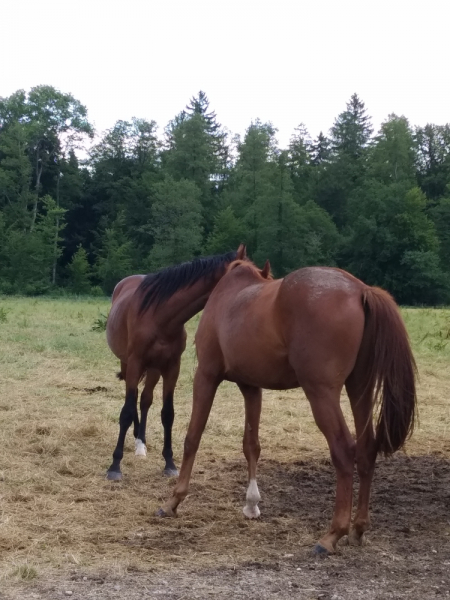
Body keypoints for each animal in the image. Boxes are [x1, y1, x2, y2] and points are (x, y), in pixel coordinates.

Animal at [105, 243, 246, 478]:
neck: (160, 317)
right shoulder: (135, 363)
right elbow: (126, 411)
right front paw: (115, 466)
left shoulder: (172, 367)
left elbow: (167, 413)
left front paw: (169, 463)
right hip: (128, 364)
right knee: (132, 400)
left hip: (154, 369)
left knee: (144, 400)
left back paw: (140, 442)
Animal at [159, 256, 418, 552]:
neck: (228, 293)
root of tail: (360, 290)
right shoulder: (251, 386)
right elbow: (251, 445)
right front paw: (251, 505)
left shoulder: (206, 375)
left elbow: (193, 437)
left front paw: (174, 500)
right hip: (359, 388)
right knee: (367, 449)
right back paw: (358, 528)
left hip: (321, 393)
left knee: (343, 449)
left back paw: (333, 534)